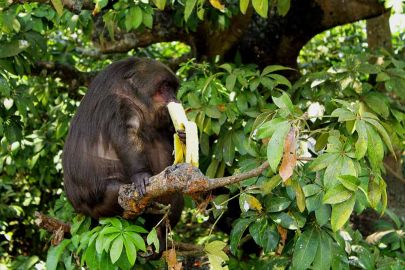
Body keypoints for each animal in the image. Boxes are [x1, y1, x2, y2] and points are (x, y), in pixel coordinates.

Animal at [61, 57, 183, 238]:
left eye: (174, 88)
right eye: (166, 87)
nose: (175, 98)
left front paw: (184, 134)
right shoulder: (118, 105)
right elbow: (127, 138)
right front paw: (141, 174)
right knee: (114, 191)